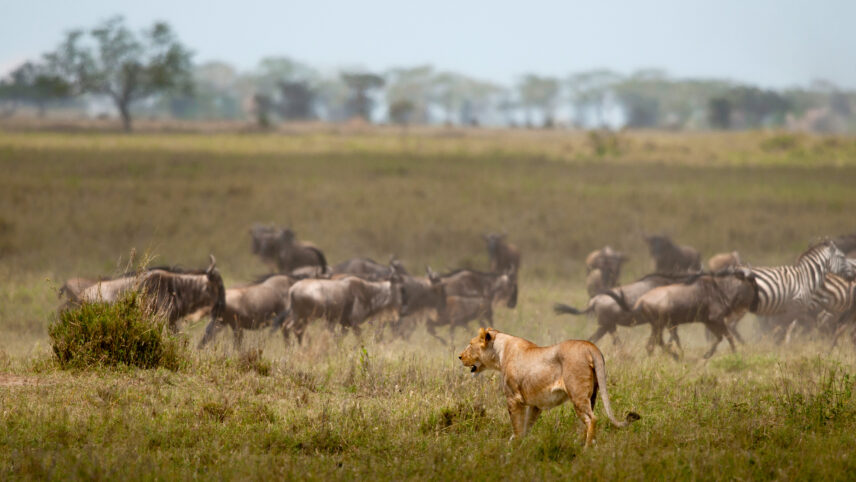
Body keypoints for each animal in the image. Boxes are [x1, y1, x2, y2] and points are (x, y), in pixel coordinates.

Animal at [458, 327, 639, 446]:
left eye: (470, 344)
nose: (459, 356)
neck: (499, 353)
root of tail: (590, 346)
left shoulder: (513, 398)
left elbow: (517, 424)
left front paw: (514, 445)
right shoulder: (535, 404)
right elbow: (526, 425)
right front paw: (521, 444)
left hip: (577, 394)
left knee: (592, 419)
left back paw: (586, 448)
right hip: (592, 395)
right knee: (586, 421)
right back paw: (580, 442)